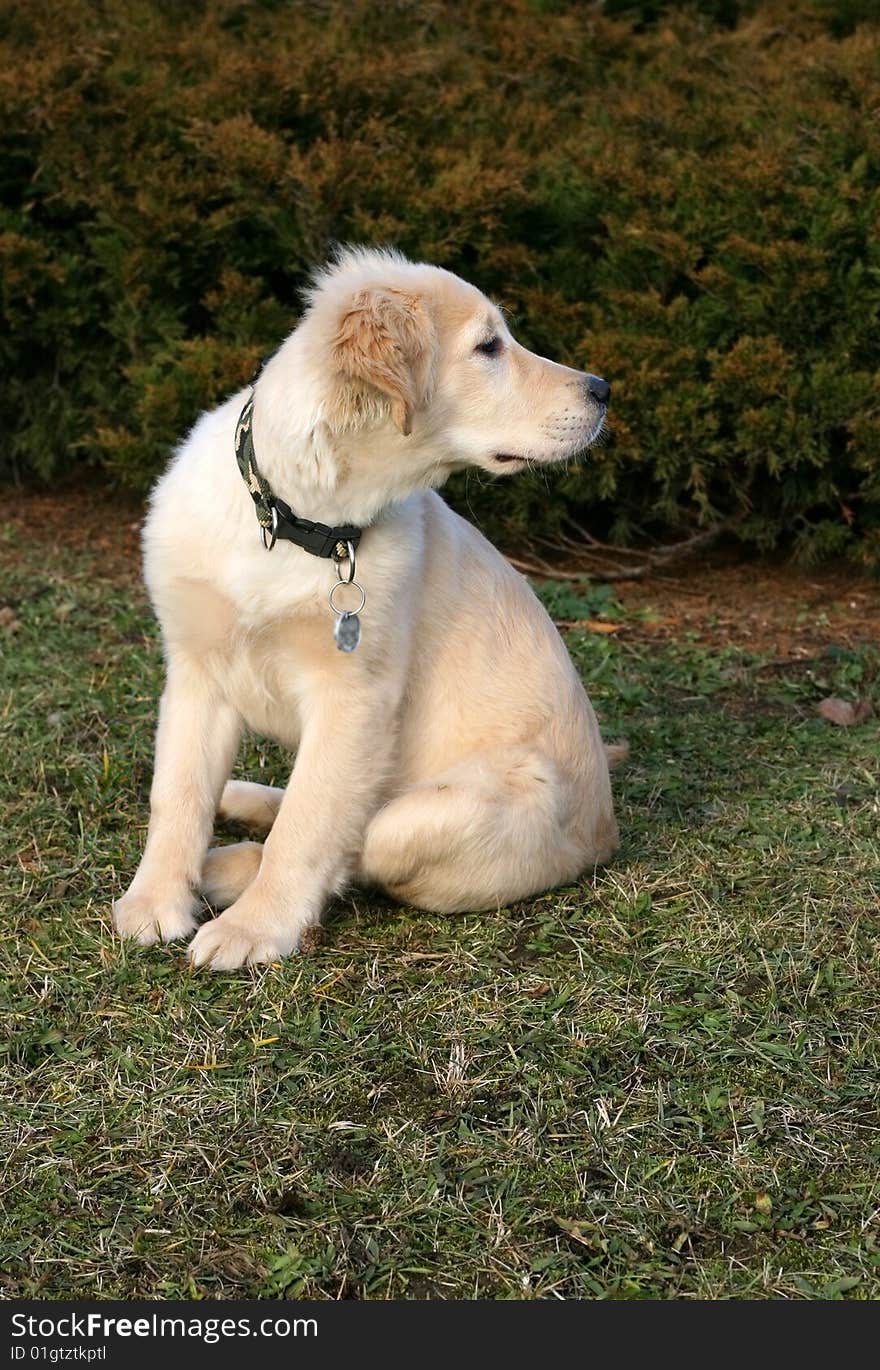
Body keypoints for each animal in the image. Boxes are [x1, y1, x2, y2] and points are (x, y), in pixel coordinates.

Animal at [113, 249, 619, 975]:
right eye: (489, 347)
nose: (604, 390)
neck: (297, 522)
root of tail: (607, 832)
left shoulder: (355, 696)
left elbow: (309, 824)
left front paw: (254, 928)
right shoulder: (196, 670)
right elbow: (177, 793)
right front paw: (154, 901)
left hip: (463, 804)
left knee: (360, 842)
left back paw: (228, 866)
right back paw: (238, 802)